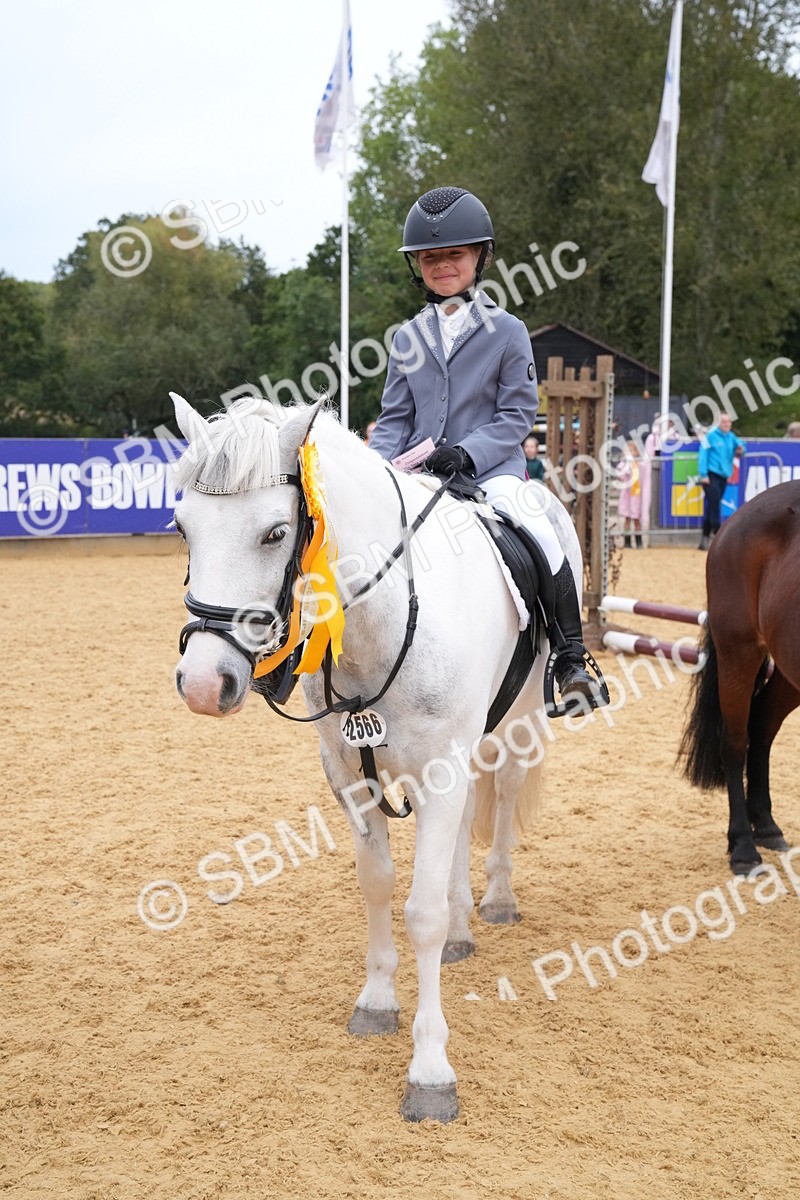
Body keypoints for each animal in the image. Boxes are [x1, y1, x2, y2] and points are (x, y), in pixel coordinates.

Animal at [169, 392, 587, 1123]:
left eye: (275, 533)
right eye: (183, 526)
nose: (201, 683)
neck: (385, 620)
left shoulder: (440, 769)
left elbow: (420, 913)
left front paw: (430, 1070)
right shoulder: (351, 776)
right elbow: (379, 886)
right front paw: (377, 1002)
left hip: (523, 721)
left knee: (504, 794)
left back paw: (497, 899)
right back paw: (463, 928)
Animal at [679, 480, 800, 873]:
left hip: (788, 670)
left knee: (762, 725)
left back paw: (765, 824)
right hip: (739, 654)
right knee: (734, 741)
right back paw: (744, 846)